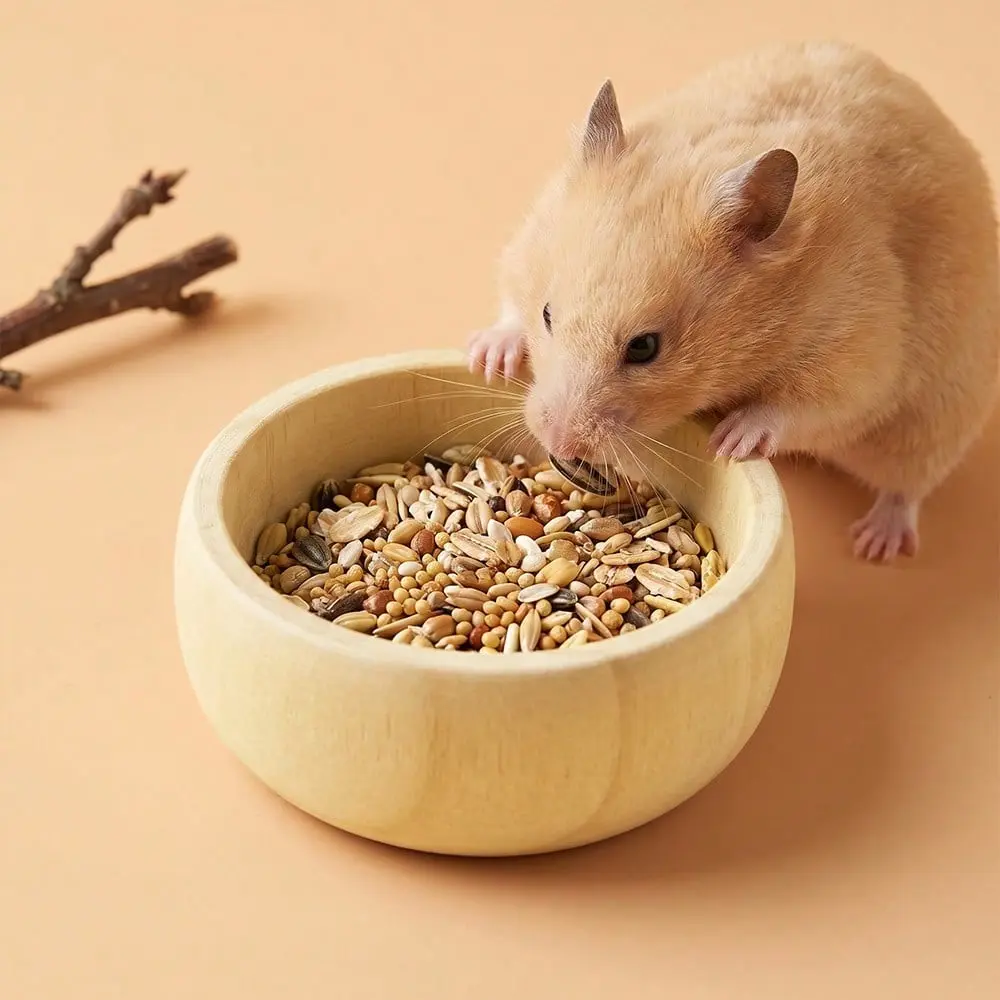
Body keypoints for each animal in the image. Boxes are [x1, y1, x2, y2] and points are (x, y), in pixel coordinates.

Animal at [466, 40, 999, 562]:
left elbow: (805, 406)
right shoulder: (525, 247)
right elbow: (510, 304)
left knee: (907, 487)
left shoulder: (860, 357)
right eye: (547, 315)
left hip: (936, 420)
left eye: (645, 348)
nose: (556, 442)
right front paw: (488, 359)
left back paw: (877, 544)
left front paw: (730, 441)